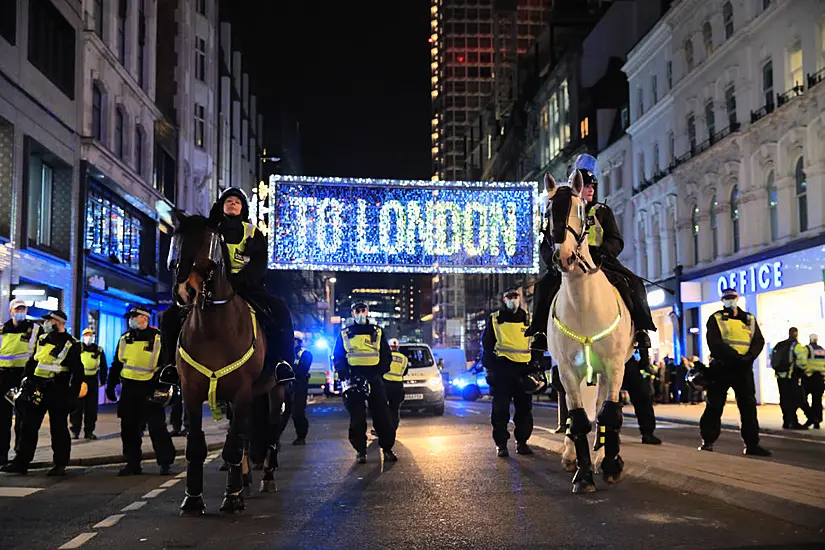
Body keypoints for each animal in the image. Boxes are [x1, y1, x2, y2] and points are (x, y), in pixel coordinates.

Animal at [168, 215, 284, 516]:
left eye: (208, 244)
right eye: (176, 243)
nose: (184, 292)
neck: (213, 330)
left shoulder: (242, 391)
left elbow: (233, 445)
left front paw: (232, 498)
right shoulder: (191, 391)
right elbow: (196, 445)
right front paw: (193, 499)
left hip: (274, 391)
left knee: (269, 430)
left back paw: (266, 478)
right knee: (244, 434)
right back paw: (244, 480)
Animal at [544, 174, 636, 496]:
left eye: (580, 210)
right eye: (547, 212)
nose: (564, 257)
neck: (584, 304)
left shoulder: (615, 365)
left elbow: (610, 414)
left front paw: (610, 465)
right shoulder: (568, 370)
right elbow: (579, 419)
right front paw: (582, 475)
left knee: (603, 409)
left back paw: (603, 454)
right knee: (579, 414)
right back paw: (572, 455)